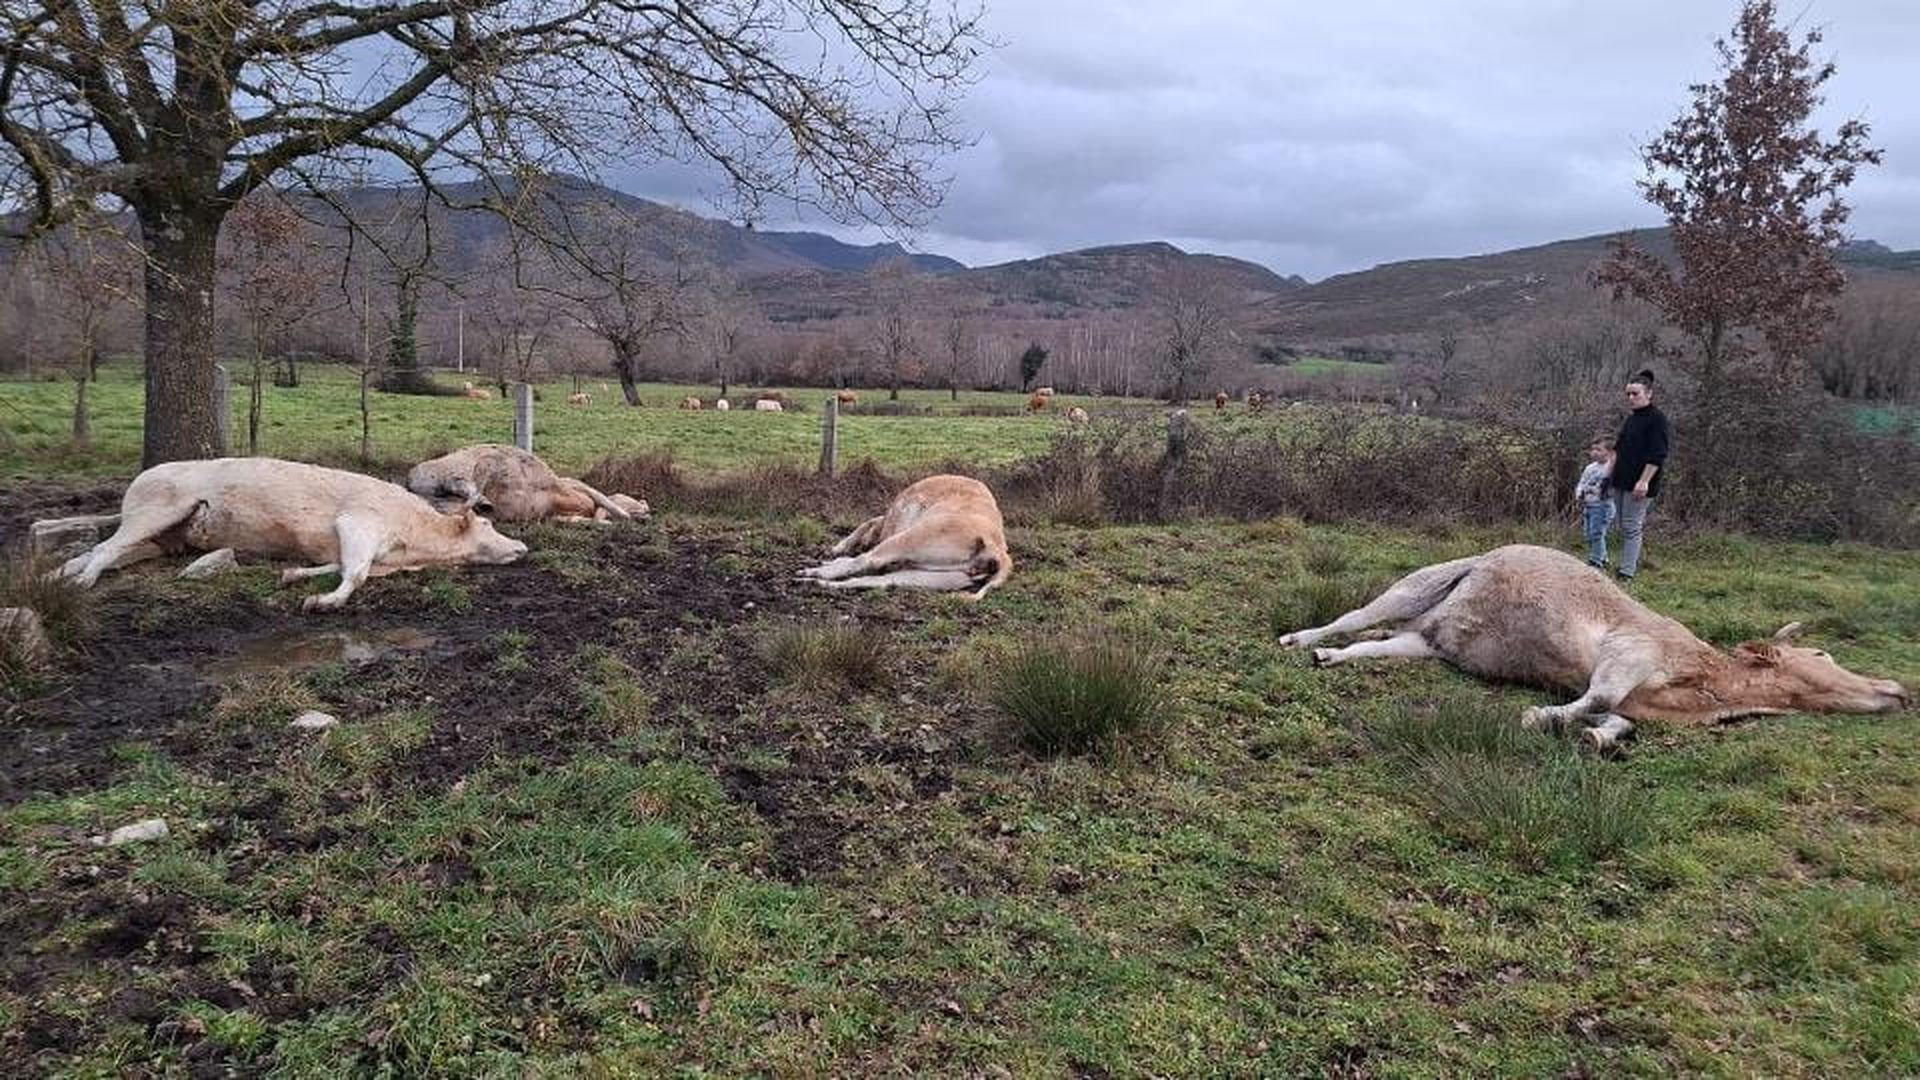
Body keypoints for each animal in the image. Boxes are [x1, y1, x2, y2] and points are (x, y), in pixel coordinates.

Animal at [58, 458, 527, 611]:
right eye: (488, 523)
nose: (523, 546)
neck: (417, 545)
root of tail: (142, 476)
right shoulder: (357, 521)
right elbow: (354, 573)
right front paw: (323, 601)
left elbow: (339, 565)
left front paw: (293, 577)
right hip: (154, 511)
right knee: (106, 547)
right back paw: (83, 582)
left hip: (161, 537)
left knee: (96, 550)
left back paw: (60, 575)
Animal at [797, 475, 1012, 600]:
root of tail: (999, 552)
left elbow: (867, 525)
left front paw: (837, 549)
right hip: (937, 577)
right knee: (877, 580)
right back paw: (815, 582)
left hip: (913, 538)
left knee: (867, 560)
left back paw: (812, 572)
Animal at [1278, 544, 1908, 751]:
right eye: (1823, 656)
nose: (1899, 690)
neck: (1702, 683)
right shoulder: (1629, 651)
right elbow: (1596, 695)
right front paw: (1538, 717)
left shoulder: (1634, 701)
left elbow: (1615, 719)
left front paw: (1595, 737)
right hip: (1421, 583)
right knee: (1355, 616)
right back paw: (1299, 639)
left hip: (1426, 643)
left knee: (1374, 645)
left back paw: (1329, 657)